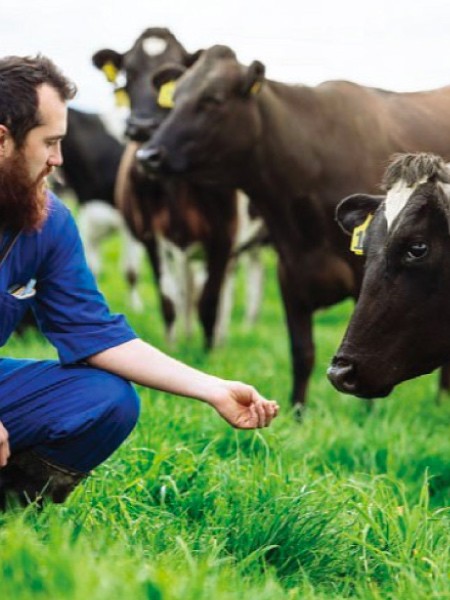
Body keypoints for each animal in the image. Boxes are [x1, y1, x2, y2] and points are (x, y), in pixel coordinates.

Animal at [93, 29, 265, 348]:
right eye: (128, 72)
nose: (141, 127)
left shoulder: (223, 236)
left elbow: (209, 302)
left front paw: (210, 352)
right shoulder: (150, 236)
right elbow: (169, 300)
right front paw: (173, 346)